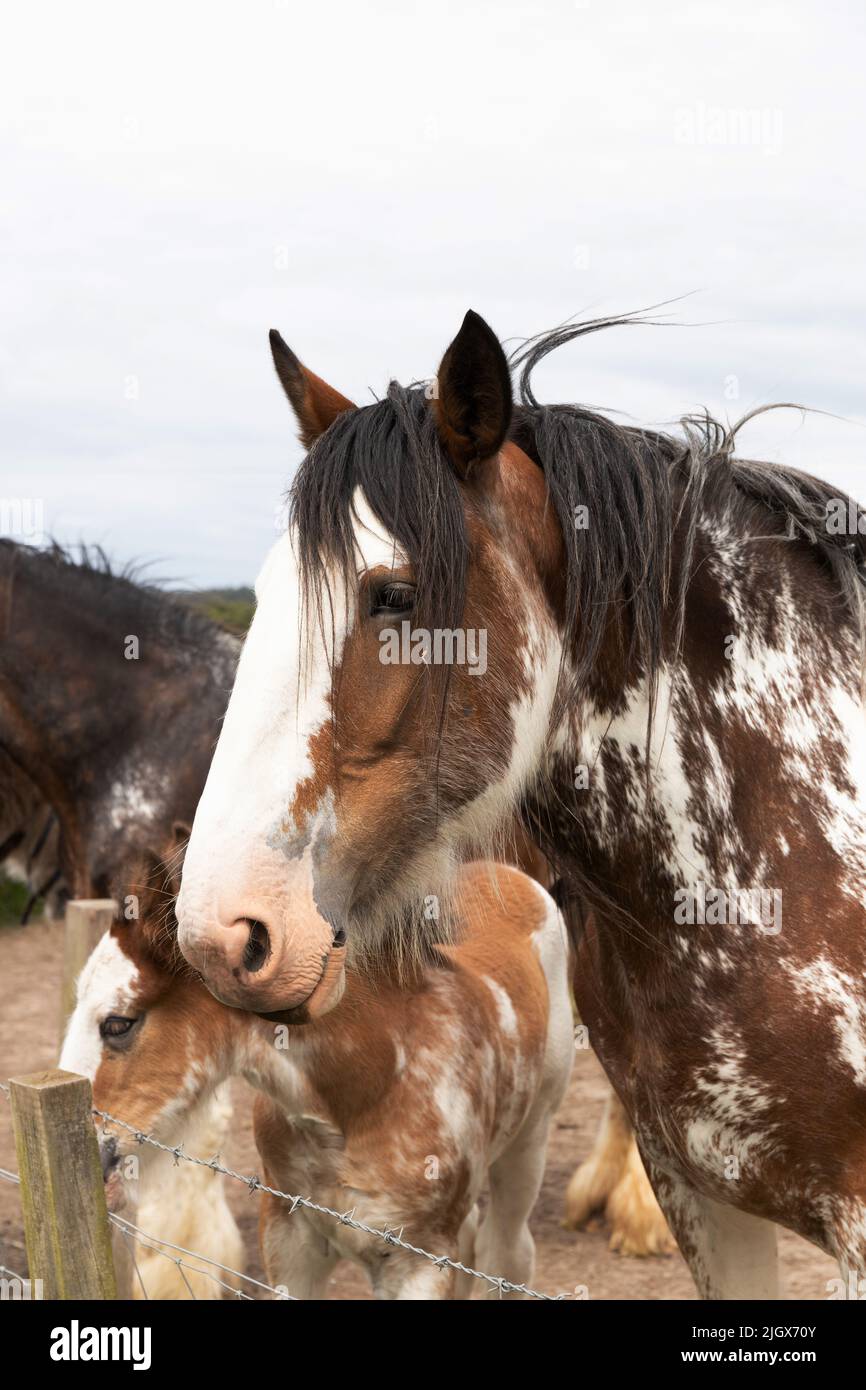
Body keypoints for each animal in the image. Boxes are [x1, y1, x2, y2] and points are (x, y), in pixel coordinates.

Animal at [61, 852, 574, 1299]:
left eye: (118, 1023)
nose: (87, 1152)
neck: (371, 1084)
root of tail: (508, 874)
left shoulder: (420, 1265)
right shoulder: (290, 1242)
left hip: (530, 1139)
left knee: (506, 1252)